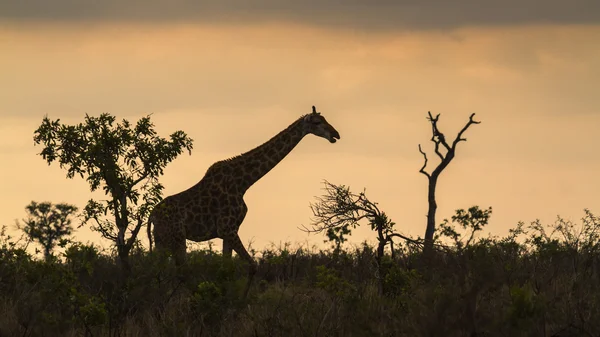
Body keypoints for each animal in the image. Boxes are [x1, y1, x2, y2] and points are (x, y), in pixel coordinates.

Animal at [148, 105, 340, 288]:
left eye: (325, 119)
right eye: (317, 122)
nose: (335, 135)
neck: (244, 183)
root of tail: (152, 216)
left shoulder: (227, 233)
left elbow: (226, 269)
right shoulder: (228, 229)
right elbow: (252, 266)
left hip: (161, 240)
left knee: (158, 270)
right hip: (176, 237)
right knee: (181, 272)